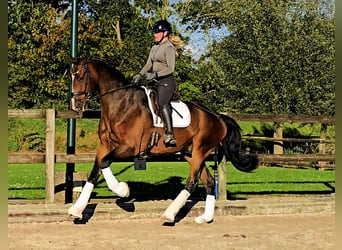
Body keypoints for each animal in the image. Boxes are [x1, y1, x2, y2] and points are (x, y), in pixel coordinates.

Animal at [68, 56, 258, 223]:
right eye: (72, 75)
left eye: (80, 76)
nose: (75, 103)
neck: (121, 103)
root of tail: (218, 117)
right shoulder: (105, 145)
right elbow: (95, 171)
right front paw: (77, 209)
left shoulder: (131, 147)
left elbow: (105, 162)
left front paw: (123, 190)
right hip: (192, 153)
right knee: (210, 182)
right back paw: (205, 218)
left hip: (200, 150)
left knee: (192, 182)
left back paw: (169, 214)